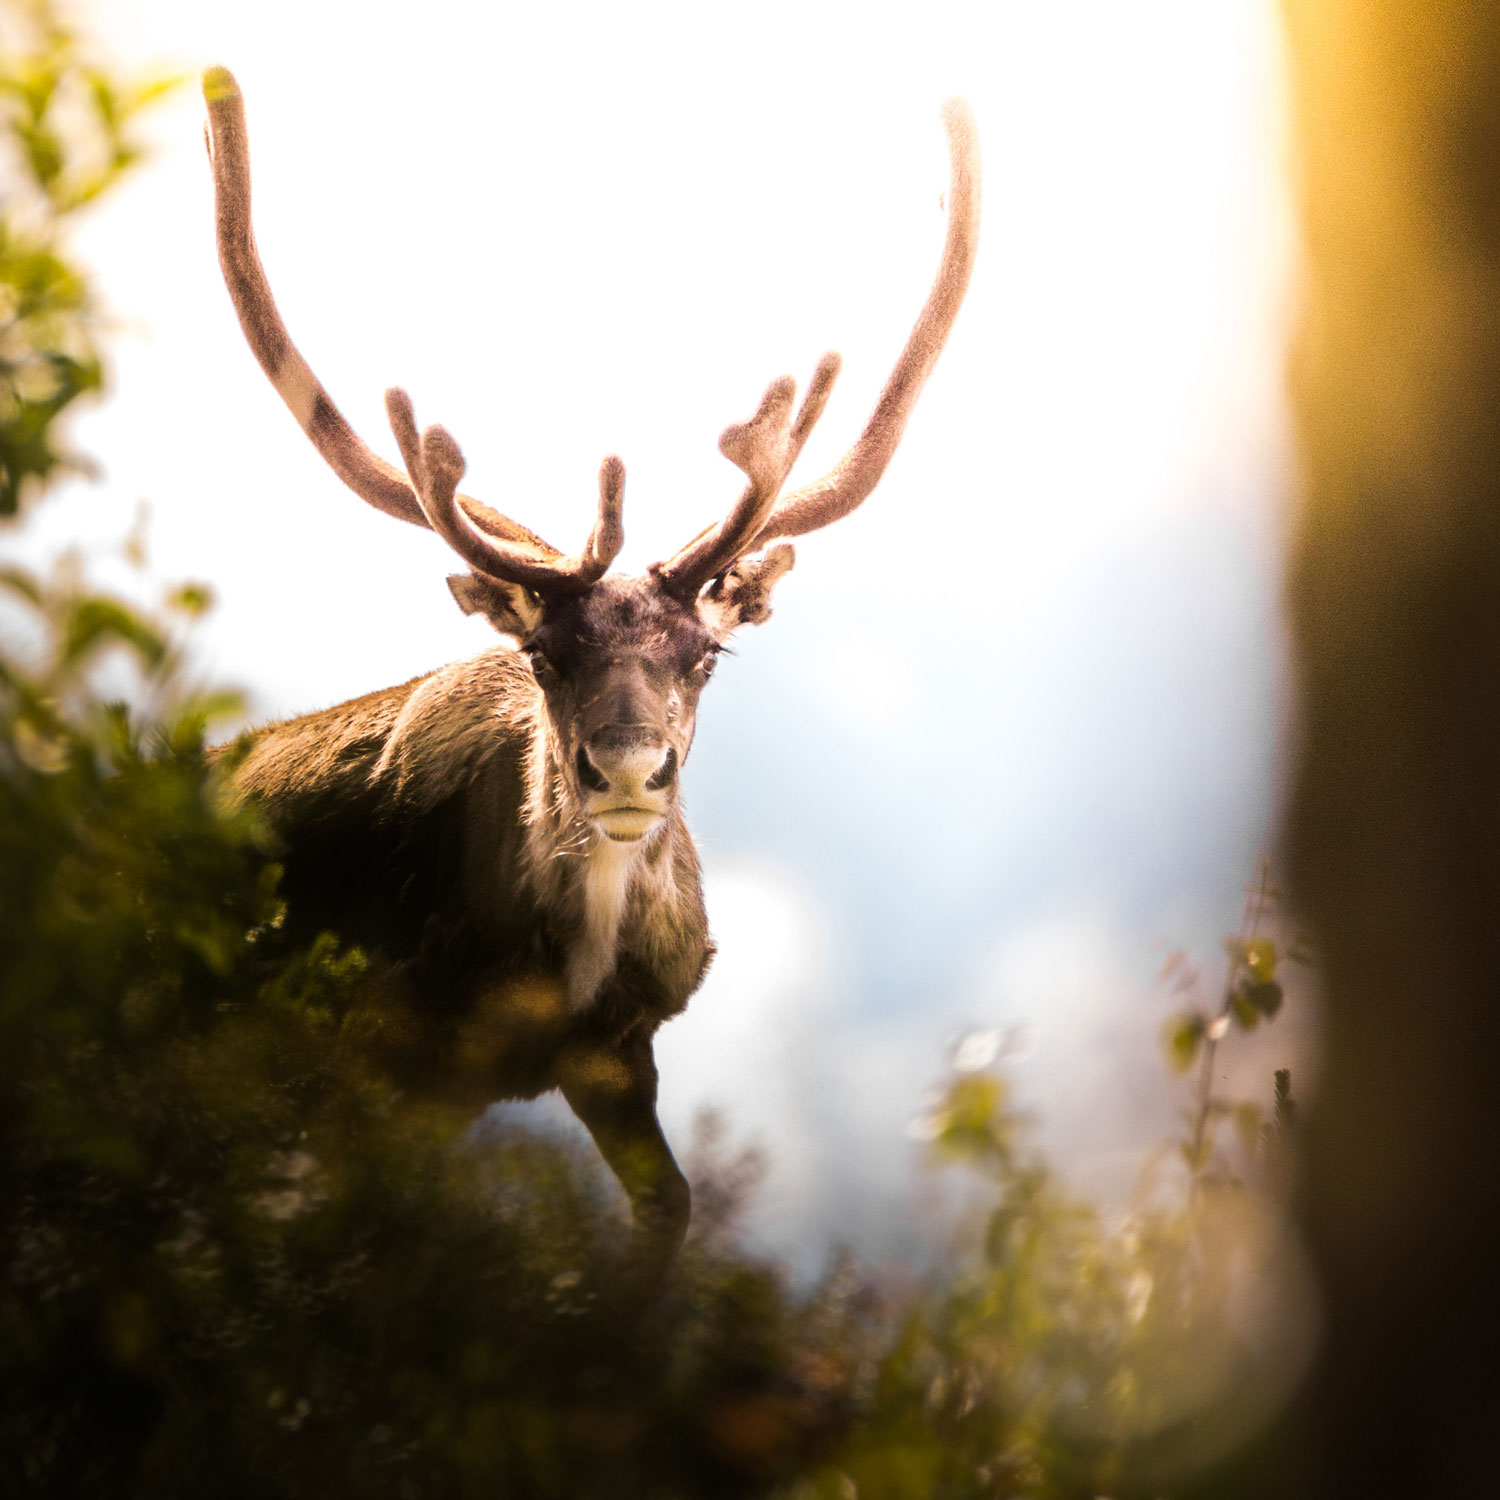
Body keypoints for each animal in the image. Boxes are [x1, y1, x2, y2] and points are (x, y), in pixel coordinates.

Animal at [205, 64, 978, 1272]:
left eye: (708, 651)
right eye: (541, 652)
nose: (625, 771)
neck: (560, 969)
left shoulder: (616, 1052)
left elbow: (669, 1212)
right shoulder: (376, 1062)